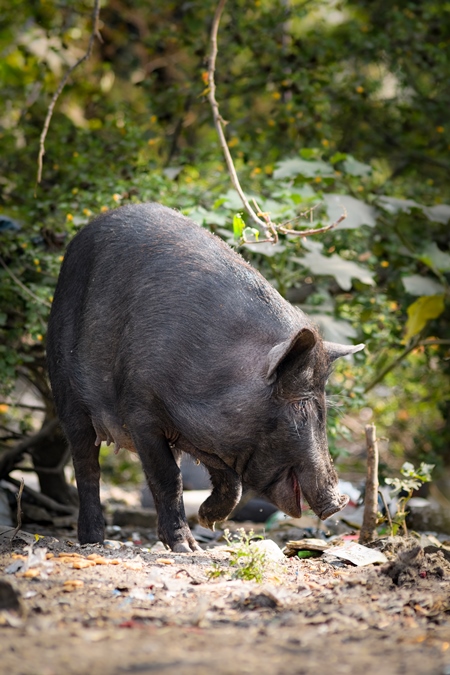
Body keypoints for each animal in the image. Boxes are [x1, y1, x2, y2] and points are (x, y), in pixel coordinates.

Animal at [46, 203, 362, 552]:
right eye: (298, 409)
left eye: (323, 409)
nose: (339, 502)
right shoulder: (140, 412)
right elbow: (168, 478)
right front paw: (187, 547)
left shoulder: (208, 438)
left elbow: (231, 482)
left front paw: (207, 522)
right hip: (65, 391)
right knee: (86, 465)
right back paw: (93, 541)